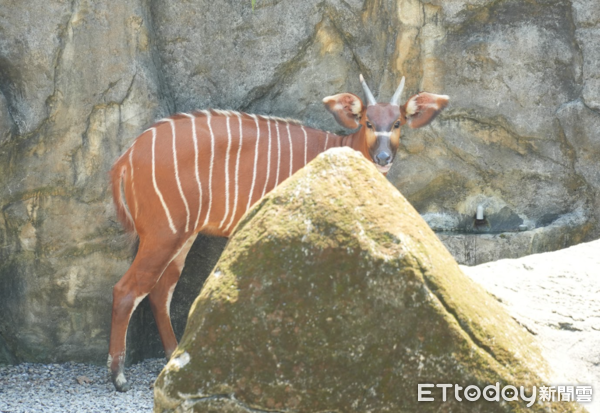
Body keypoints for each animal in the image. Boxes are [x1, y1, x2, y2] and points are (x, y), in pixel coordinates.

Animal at [108, 75, 448, 390]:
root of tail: (126, 157)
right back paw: (119, 376)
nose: (383, 158)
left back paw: (171, 357)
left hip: (182, 235)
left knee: (159, 291)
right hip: (163, 233)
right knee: (127, 289)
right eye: (368, 122)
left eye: (397, 122)